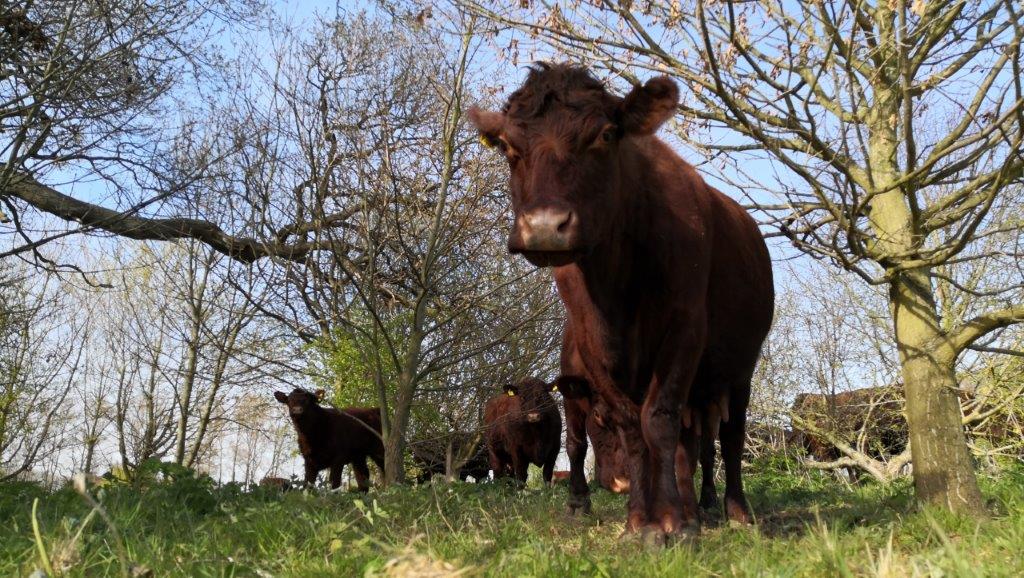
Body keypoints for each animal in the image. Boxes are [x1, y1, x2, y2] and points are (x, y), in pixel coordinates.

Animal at [468, 63, 770, 541]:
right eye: (507, 145)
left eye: (607, 135)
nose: (545, 226)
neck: (616, 283)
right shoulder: (593, 349)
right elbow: (633, 429)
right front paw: (642, 519)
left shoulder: (685, 331)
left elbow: (659, 421)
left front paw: (672, 520)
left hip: (740, 368)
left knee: (731, 436)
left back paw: (735, 509)